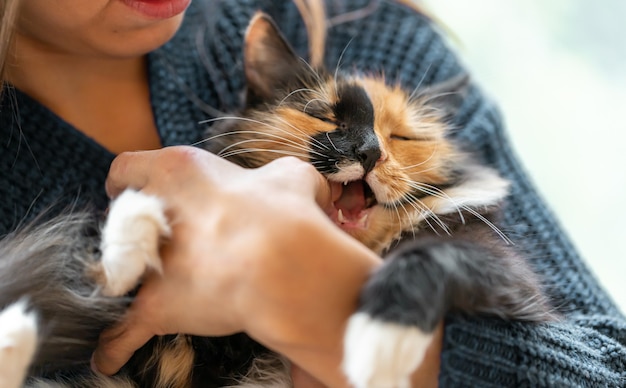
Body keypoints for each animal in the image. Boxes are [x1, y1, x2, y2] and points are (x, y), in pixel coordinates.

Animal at [0, 11, 548, 388]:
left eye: (402, 137)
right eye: (325, 115)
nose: (369, 152)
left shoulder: (509, 277)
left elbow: (430, 256)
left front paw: (379, 346)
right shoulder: (135, 351)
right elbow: (108, 271)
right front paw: (130, 240)